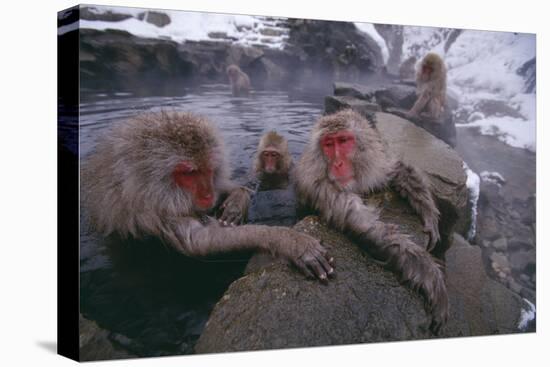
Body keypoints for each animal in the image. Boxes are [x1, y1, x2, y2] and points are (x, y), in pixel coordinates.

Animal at [84, 112, 336, 284]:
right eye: (188, 173)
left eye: (207, 169)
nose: (207, 193)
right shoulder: (153, 215)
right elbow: (202, 243)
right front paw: (290, 241)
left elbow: (230, 189)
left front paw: (235, 203)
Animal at [298, 108, 448, 330]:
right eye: (328, 145)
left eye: (343, 141)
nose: (337, 163)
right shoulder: (323, 188)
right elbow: (366, 226)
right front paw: (433, 277)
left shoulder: (374, 165)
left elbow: (396, 169)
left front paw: (429, 214)